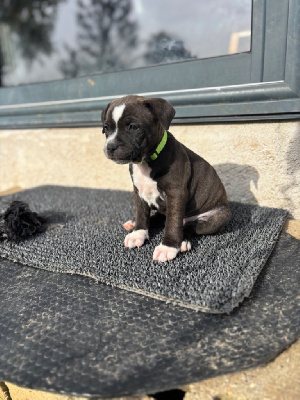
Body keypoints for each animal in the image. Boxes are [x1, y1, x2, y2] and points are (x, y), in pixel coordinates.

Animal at [102, 95, 231, 260]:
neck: (145, 162)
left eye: (133, 127)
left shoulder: (175, 194)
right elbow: (142, 214)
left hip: (218, 217)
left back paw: (182, 241)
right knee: (159, 218)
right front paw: (138, 233)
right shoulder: (138, 192)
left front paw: (168, 247)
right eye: (106, 128)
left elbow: (172, 222)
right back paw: (132, 223)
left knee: (189, 226)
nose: (110, 147)